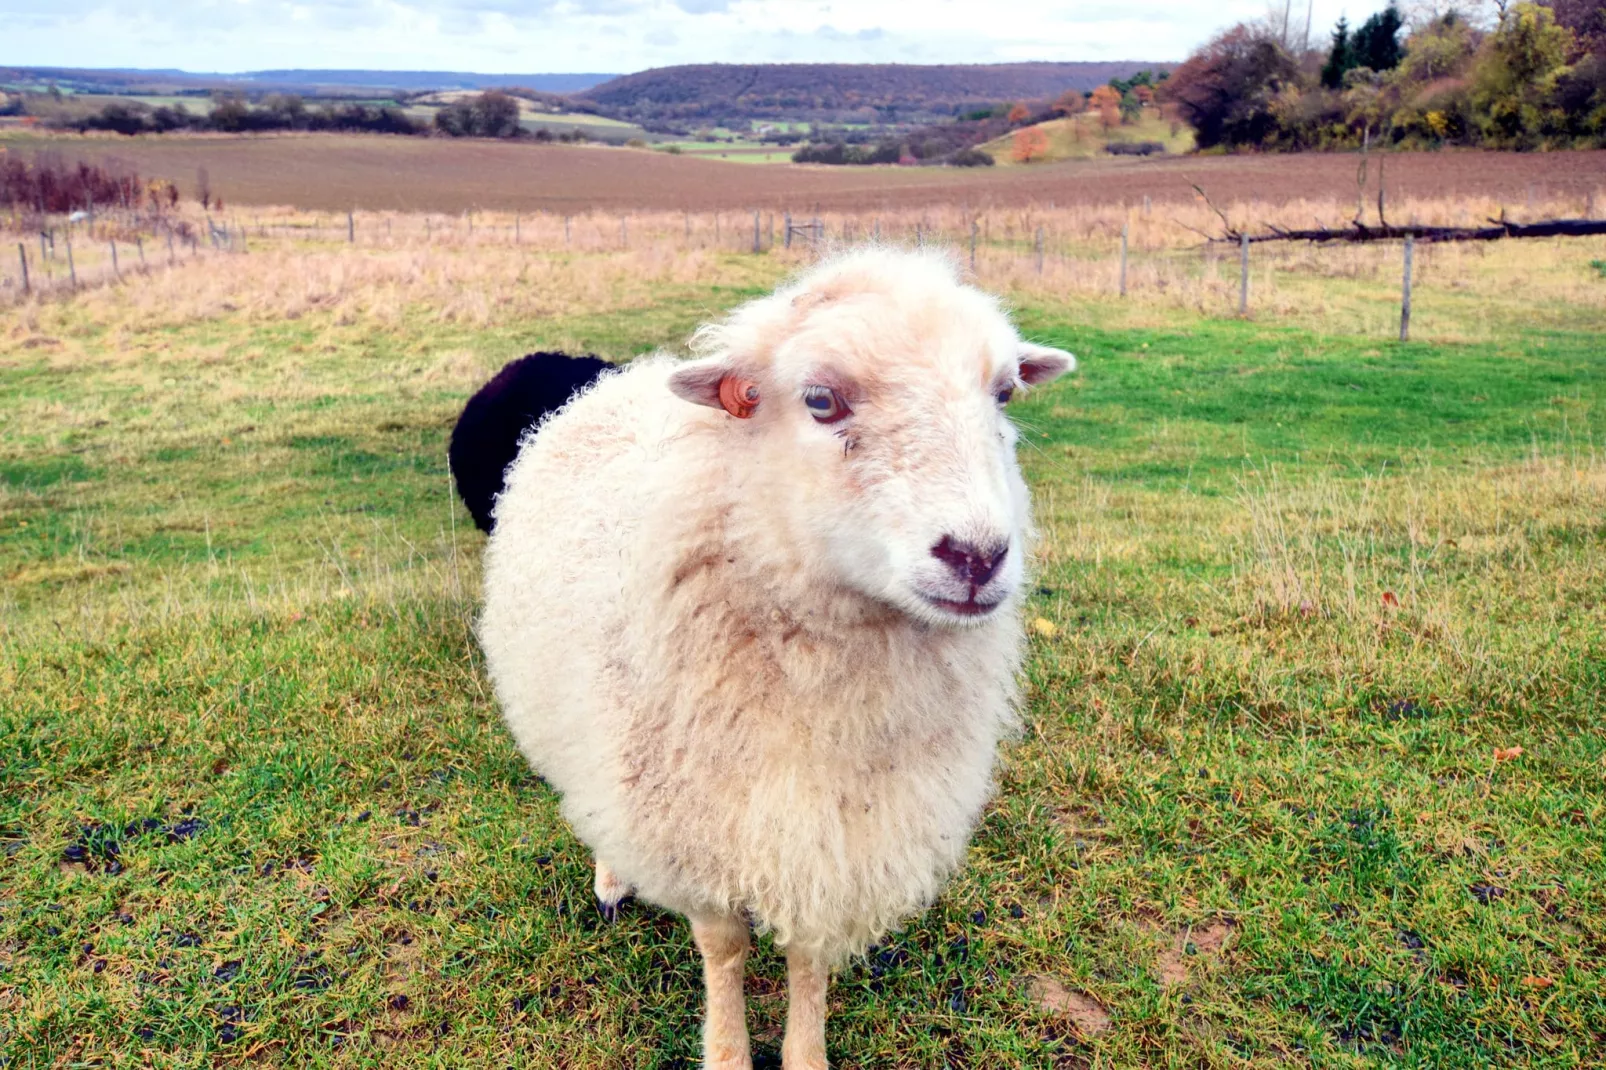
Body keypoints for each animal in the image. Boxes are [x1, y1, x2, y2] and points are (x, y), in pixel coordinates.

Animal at [478, 244, 1079, 1066]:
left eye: (1005, 393)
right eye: (821, 400)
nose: (978, 555)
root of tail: (624, 376)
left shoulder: (841, 836)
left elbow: (809, 959)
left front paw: (805, 1052)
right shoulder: (694, 825)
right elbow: (725, 950)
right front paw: (728, 1052)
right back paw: (610, 881)